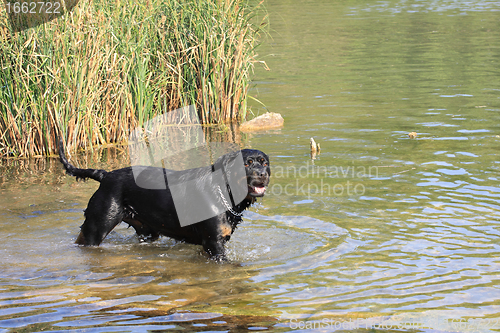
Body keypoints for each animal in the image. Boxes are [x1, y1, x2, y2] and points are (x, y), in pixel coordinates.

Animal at [58, 140, 270, 260]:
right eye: (247, 164)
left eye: (264, 163)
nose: (263, 174)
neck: (223, 192)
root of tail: (105, 175)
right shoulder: (213, 242)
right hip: (96, 227)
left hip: (146, 230)